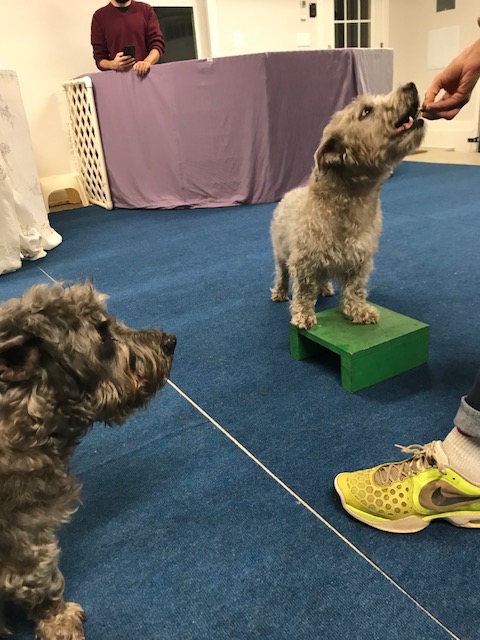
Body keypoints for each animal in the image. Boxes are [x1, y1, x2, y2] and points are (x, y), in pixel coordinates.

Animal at [270, 82, 425, 329]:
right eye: (366, 111)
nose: (410, 86)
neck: (349, 204)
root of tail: (290, 193)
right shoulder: (304, 262)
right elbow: (304, 292)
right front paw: (303, 315)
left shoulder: (360, 261)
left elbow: (355, 289)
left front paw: (358, 310)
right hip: (280, 253)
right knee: (282, 273)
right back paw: (280, 291)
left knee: (322, 279)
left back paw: (325, 288)